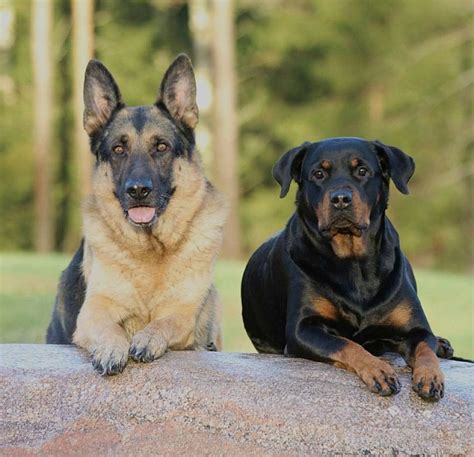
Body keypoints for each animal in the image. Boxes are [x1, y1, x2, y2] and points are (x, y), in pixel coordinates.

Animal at [47, 54, 227, 374]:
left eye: (161, 147)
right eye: (119, 149)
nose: (139, 190)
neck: (152, 251)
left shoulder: (183, 313)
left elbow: (165, 322)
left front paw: (148, 337)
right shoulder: (94, 310)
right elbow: (109, 328)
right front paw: (111, 347)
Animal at [243, 138, 454, 400]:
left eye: (362, 171)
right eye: (319, 174)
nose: (340, 198)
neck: (353, 263)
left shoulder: (416, 329)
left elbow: (426, 347)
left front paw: (431, 376)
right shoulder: (303, 330)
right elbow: (346, 344)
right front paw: (378, 370)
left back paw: (441, 344)